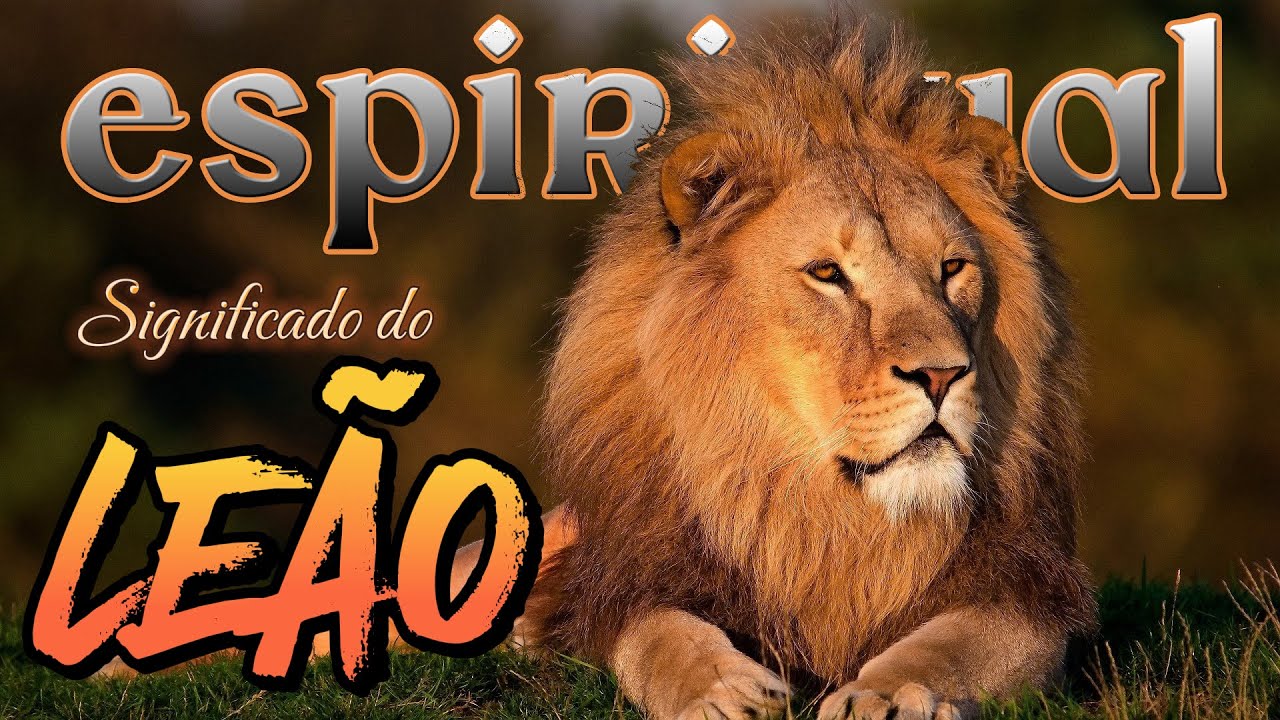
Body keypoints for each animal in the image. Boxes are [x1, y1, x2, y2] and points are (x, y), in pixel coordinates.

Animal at [508, 16, 1096, 720]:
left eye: (952, 268)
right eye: (828, 274)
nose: (941, 375)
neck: (818, 511)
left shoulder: (1024, 593)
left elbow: (952, 646)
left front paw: (888, 695)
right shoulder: (636, 580)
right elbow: (657, 636)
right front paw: (723, 693)